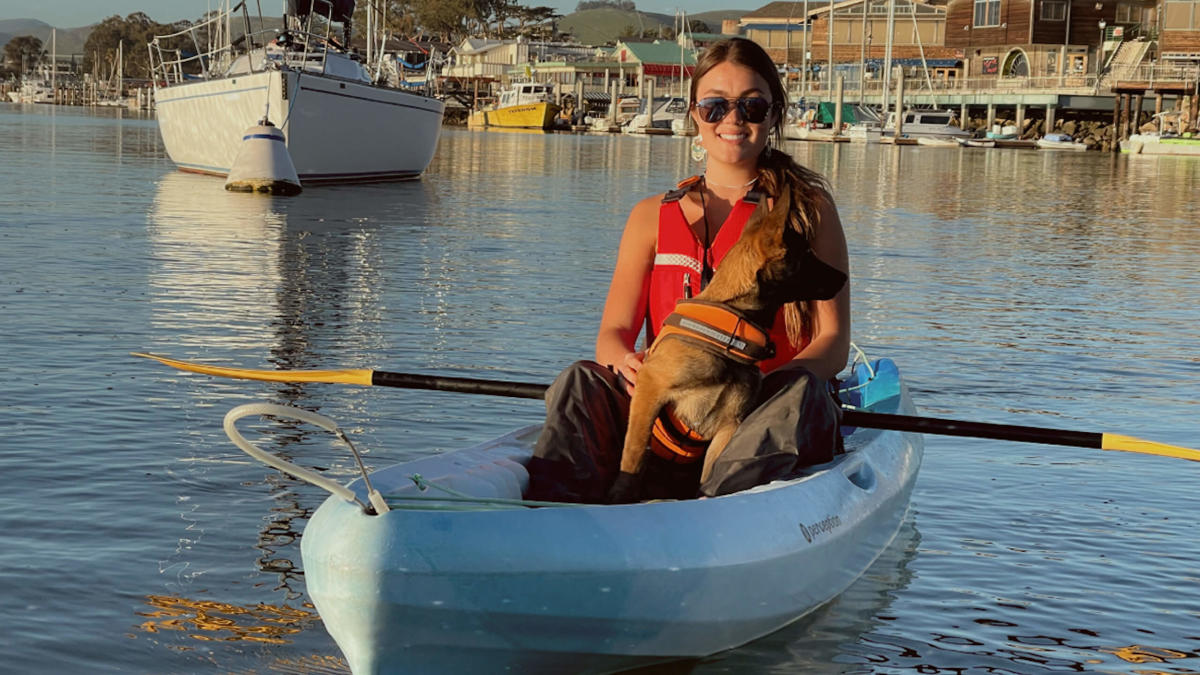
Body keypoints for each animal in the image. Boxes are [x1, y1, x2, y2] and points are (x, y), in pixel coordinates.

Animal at [609, 186, 844, 502]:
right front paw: (620, 492)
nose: (844, 277)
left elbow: (708, 476)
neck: (732, 325)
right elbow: (634, 453)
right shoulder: (649, 388)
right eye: (806, 255)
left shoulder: (728, 425)